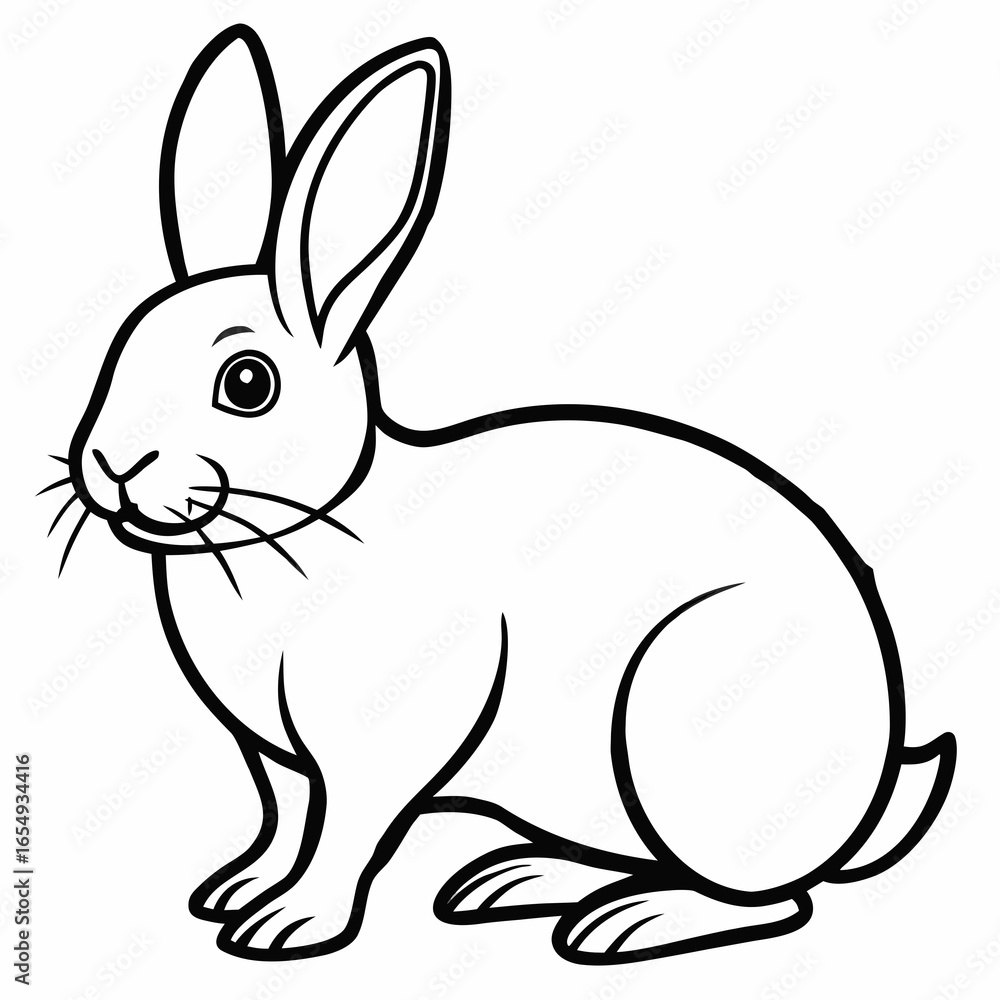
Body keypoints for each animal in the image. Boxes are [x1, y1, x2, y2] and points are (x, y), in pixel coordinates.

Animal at [46, 25, 956, 964]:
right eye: (122, 344)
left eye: (247, 383)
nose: (110, 463)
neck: (308, 524)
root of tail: (868, 801)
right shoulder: (278, 758)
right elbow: (287, 818)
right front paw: (236, 890)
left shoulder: (379, 744)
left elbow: (348, 829)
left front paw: (287, 923)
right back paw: (515, 881)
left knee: (771, 901)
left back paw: (625, 922)